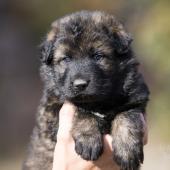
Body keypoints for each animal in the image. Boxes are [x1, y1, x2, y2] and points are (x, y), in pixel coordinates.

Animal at [23, 10, 149, 170]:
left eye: (98, 56)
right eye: (65, 59)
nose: (80, 84)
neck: (99, 102)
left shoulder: (136, 101)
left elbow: (127, 116)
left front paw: (127, 151)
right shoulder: (52, 110)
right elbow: (81, 110)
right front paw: (88, 140)